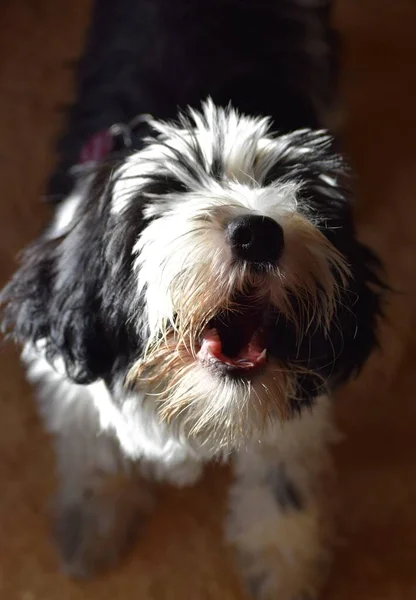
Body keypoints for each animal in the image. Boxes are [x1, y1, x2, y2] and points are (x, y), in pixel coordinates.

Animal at [0, 0, 384, 596]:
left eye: (298, 190)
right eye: (164, 192)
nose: (258, 232)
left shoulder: (301, 407)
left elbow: (282, 484)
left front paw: (283, 566)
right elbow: (93, 454)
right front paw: (92, 526)